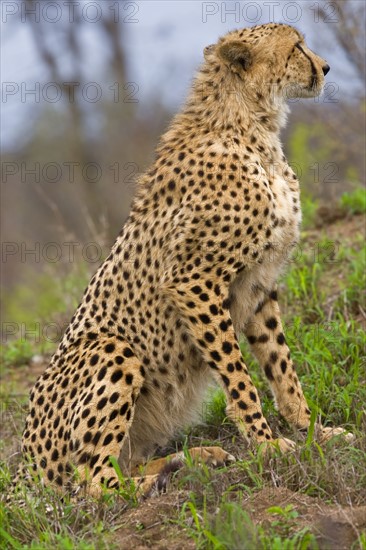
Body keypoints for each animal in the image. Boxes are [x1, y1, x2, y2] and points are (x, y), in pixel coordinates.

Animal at [20, 23, 352, 500]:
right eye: (296, 47)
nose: (325, 68)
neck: (250, 124)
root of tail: (25, 466)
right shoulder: (193, 280)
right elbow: (239, 377)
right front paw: (269, 446)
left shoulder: (259, 284)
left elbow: (282, 368)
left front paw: (315, 433)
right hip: (111, 348)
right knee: (93, 484)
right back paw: (161, 479)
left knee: (119, 463)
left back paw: (193, 458)